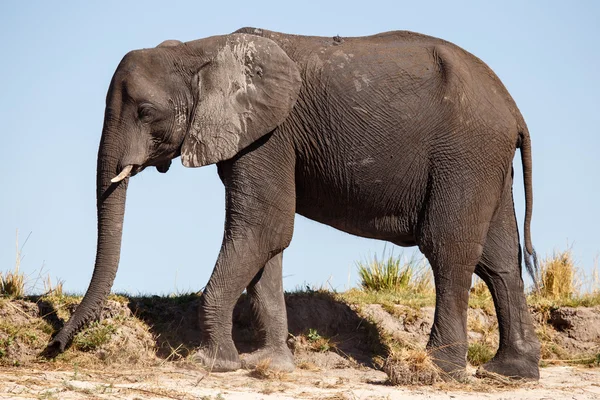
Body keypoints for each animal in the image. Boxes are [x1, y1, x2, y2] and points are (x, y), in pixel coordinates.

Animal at [42, 26, 540, 380]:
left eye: (146, 113)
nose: (53, 348)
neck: (199, 50)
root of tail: (515, 110)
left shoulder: (269, 135)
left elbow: (263, 227)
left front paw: (214, 364)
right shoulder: (254, 136)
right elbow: (271, 239)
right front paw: (269, 363)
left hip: (466, 153)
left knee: (449, 251)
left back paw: (438, 371)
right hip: (488, 161)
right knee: (499, 260)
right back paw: (510, 373)